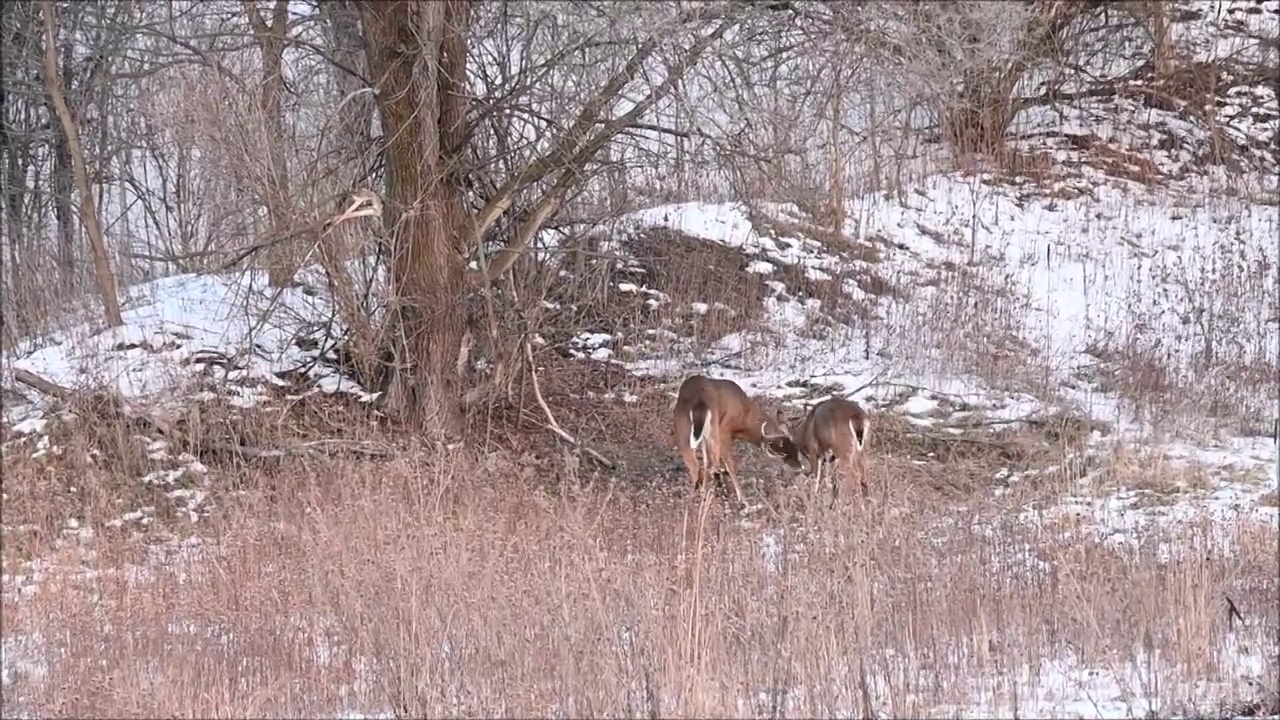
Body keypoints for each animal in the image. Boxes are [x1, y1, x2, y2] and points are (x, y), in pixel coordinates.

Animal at [670, 376, 798, 504]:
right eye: (785, 450)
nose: (798, 467)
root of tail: (699, 402)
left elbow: (706, 461)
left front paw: (704, 491)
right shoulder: (724, 429)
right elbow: (728, 465)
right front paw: (741, 498)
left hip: (686, 430)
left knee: (698, 465)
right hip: (710, 429)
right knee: (713, 465)